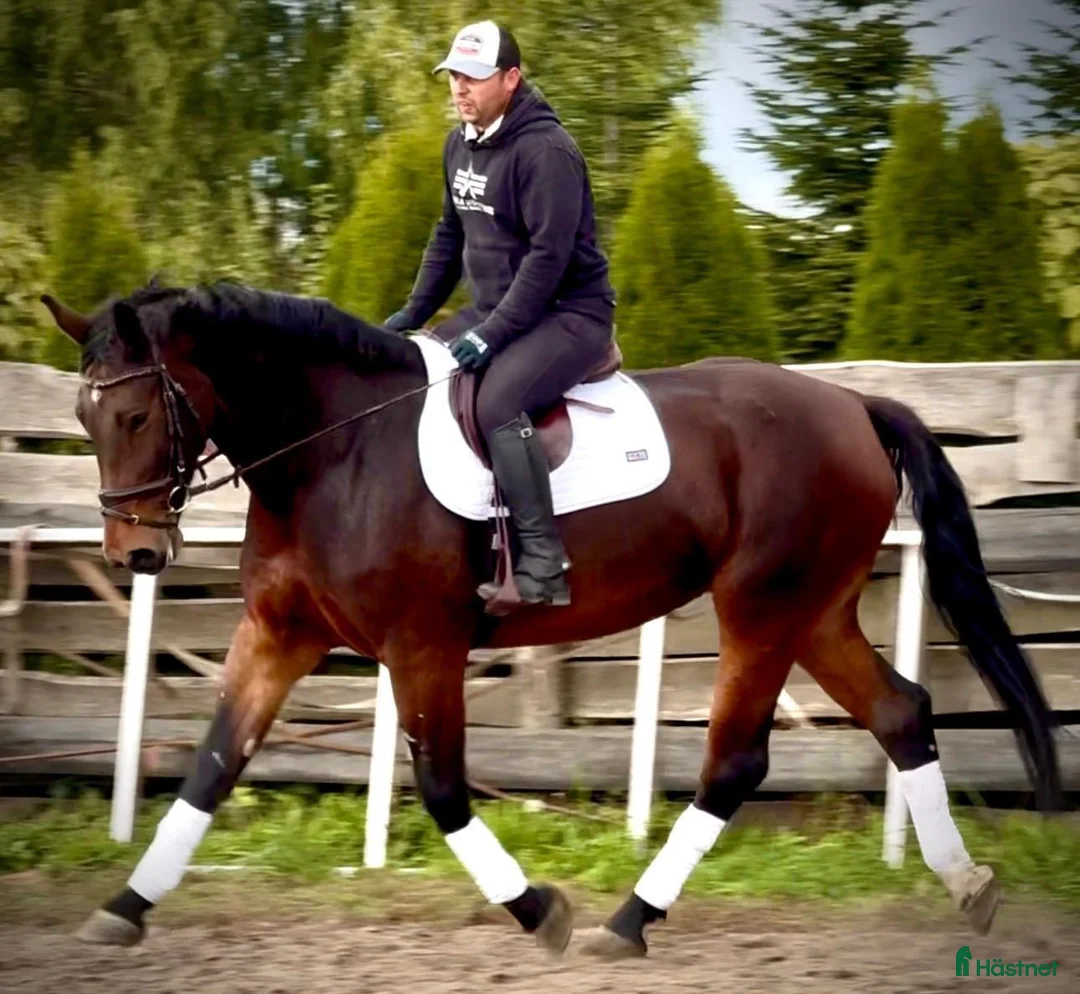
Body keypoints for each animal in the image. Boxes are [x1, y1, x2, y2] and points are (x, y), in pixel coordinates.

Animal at [40, 280, 1061, 960]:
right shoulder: (278, 636)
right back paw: (969, 886)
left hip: (762, 609)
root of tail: (854, 402)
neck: (338, 450)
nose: (135, 555)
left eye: (135, 414)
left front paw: (542, 912)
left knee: (736, 761)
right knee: (900, 713)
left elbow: (444, 789)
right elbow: (212, 767)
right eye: (85, 418)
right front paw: (123, 908)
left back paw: (628, 922)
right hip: (814, 614)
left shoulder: (422, 647)